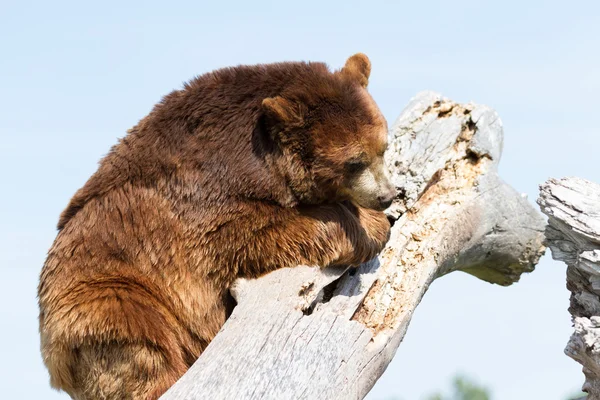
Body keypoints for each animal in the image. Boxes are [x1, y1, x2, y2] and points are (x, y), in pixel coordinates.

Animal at [36, 54, 394, 400]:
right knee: (137, 336)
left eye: (382, 147)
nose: (387, 196)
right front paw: (370, 227)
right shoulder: (200, 197)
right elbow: (249, 233)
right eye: (354, 161)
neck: (260, 164)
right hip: (104, 293)